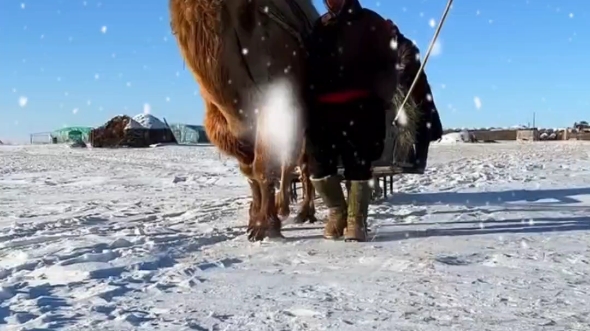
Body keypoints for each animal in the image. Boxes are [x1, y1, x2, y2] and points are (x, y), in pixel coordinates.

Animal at [169, 0, 322, 241]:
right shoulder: (222, 124)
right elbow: (250, 172)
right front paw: (255, 218)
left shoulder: (279, 108)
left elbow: (263, 168)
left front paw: (265, 226)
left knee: (305, 165)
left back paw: (304, 212)